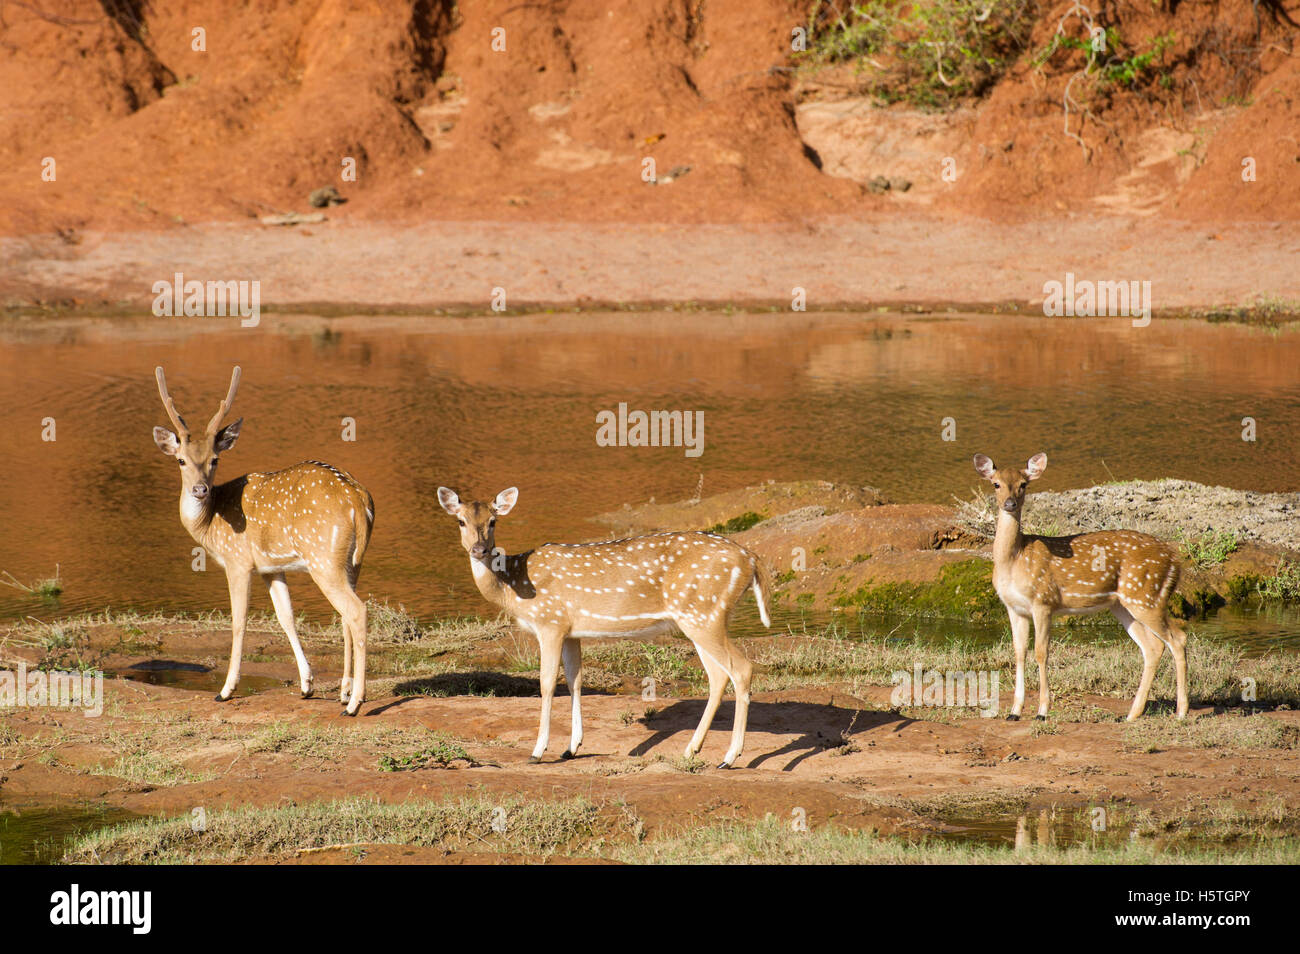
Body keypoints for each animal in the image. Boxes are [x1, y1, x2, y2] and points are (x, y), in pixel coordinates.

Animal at [154, 369, 377, 712]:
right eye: (181, 460)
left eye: (215, 459)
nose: (200, 489)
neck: (210, 523)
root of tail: (359, 500)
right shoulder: (271, 567)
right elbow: (286, 617)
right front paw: (307, 685)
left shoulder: (238, 561)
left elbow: (238, 622)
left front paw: (226, 690)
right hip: (352, 561)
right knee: (345, 615)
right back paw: (343, 692)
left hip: (323, 559)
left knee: (356, 611)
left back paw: (354, 704)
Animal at [436, 488, 769, 774]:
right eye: (460, 521)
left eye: (493, 521)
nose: (479, 549)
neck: (512, 586)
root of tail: (751, 560)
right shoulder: (571, 631)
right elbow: (575, 680)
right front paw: (571, 748)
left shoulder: (550, 622)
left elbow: (547, 683)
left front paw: (538, 751)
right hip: (702, 617)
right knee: (718, 676)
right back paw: (691, 750)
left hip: (703, 614)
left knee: (741, 668)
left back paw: (729, 757)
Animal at [977, 454, 1190, 722]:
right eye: (995, 484)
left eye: (1024, 484)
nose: (1010, 503)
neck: (1014, 559)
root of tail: (1175, 561)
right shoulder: (1014, 608)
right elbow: (1018, 652)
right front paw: (1014, 712)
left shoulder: (1043, 601)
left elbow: (1041, 652)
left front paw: (1042, 711)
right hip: (1125, 605)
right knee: (1153, 647)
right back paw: (1132, 714)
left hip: (1147, 596)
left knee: (1178, 638)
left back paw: (1181, 712)